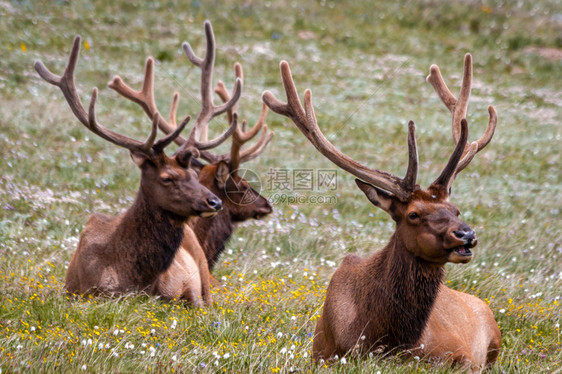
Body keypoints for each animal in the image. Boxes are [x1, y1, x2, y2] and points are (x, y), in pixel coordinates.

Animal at [34, 35, 236, 306]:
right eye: (167, 178)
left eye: (195, 175)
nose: (215, 202)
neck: (137, 280)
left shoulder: (188, 286)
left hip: (201, 261)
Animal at [262, 54, 498, 372]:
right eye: (414, 214)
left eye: (455, 208)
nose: (466, 234)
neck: (384, 338)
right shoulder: (326, 354)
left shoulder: (461, 353)